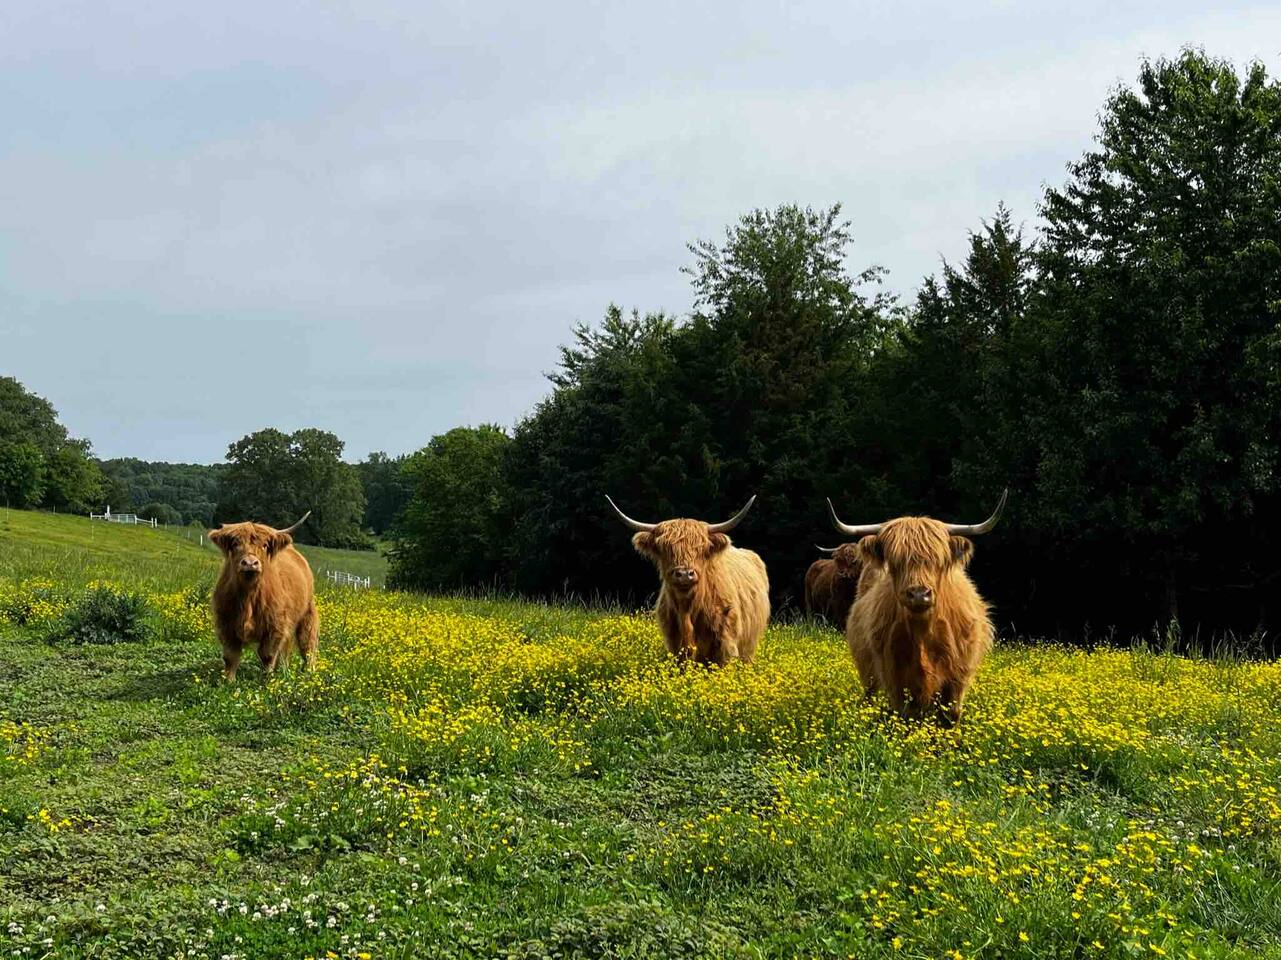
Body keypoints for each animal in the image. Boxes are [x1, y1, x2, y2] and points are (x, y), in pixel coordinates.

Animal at [209, 511, 318, 681]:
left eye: (265, 545)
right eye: (235, 544)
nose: (250, 563)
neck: (248, 598)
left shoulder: (275, 627)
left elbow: (268, 655)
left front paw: (267, 681)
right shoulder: (225, 625)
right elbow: (231, 656)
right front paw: (229, 681)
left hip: (307, 613)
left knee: (307, 645)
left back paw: (309, 673)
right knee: (286, 650)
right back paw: (284, 670)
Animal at [607, 496, 769, 666]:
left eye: (701, 548)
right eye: (665, 548)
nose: (685, 574)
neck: (688, 608)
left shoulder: (727, 643)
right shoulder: (674, 642)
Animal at [828, 491, 1007, 725]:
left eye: (937, 560)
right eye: (896, 563)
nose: (919, 594)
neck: (923, 632)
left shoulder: (958, 676)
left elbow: (951, 714)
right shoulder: (894, 676)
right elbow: (904, 715)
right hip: (868, 671)